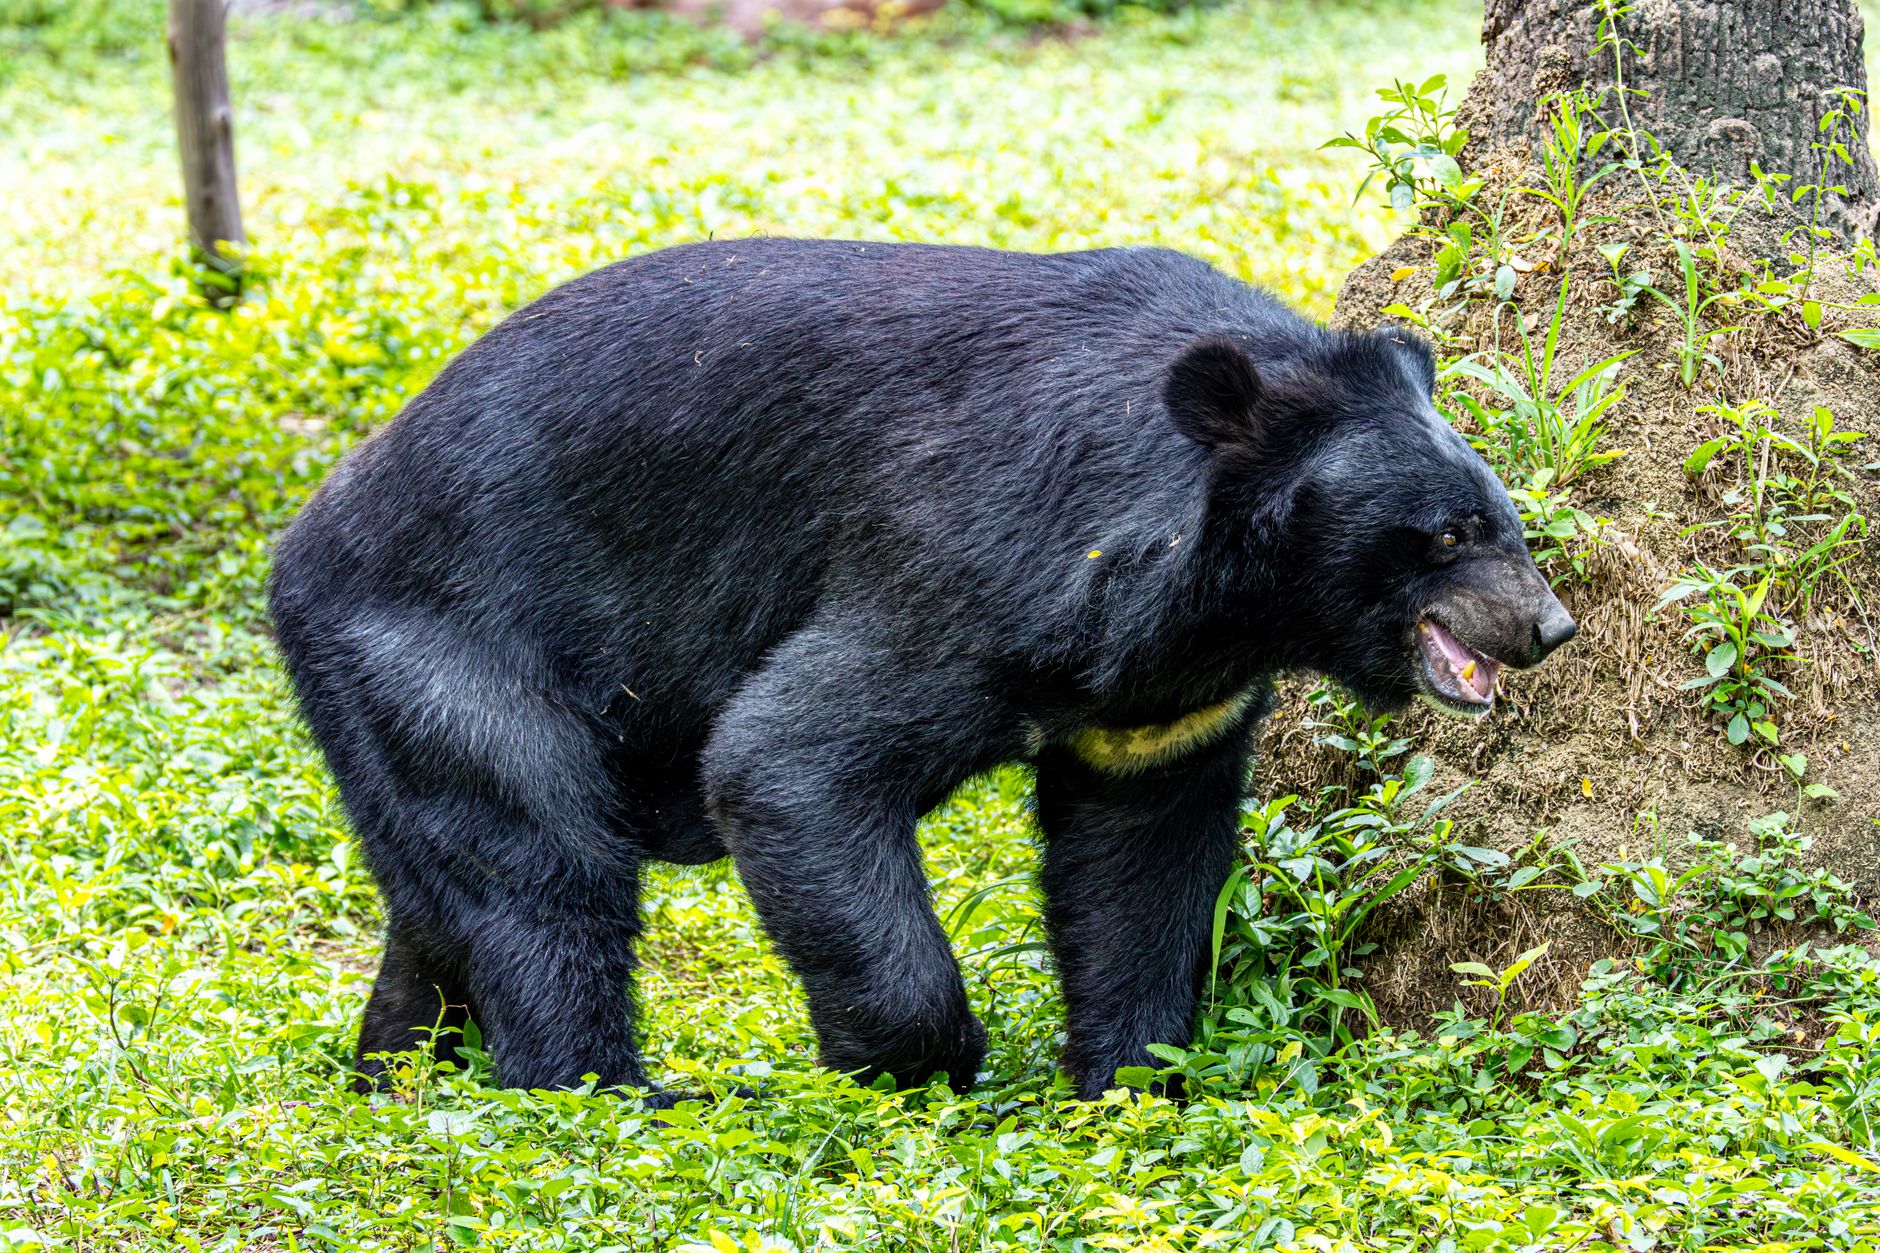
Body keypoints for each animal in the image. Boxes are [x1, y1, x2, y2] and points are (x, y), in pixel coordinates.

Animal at [268, 238, 1576, 1103]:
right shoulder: (966, 557)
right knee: (545, 879)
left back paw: (394, 1071)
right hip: (447, 646)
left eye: (1504, 520)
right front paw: (918, 1067)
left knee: (444, 896)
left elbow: (1140, 859)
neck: (1219, 597)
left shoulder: (1159, 699)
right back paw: (601, 1093)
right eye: (1447, 532)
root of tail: (303, 540)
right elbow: (789, 755)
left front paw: (1131, 1076)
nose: (1546, 628)